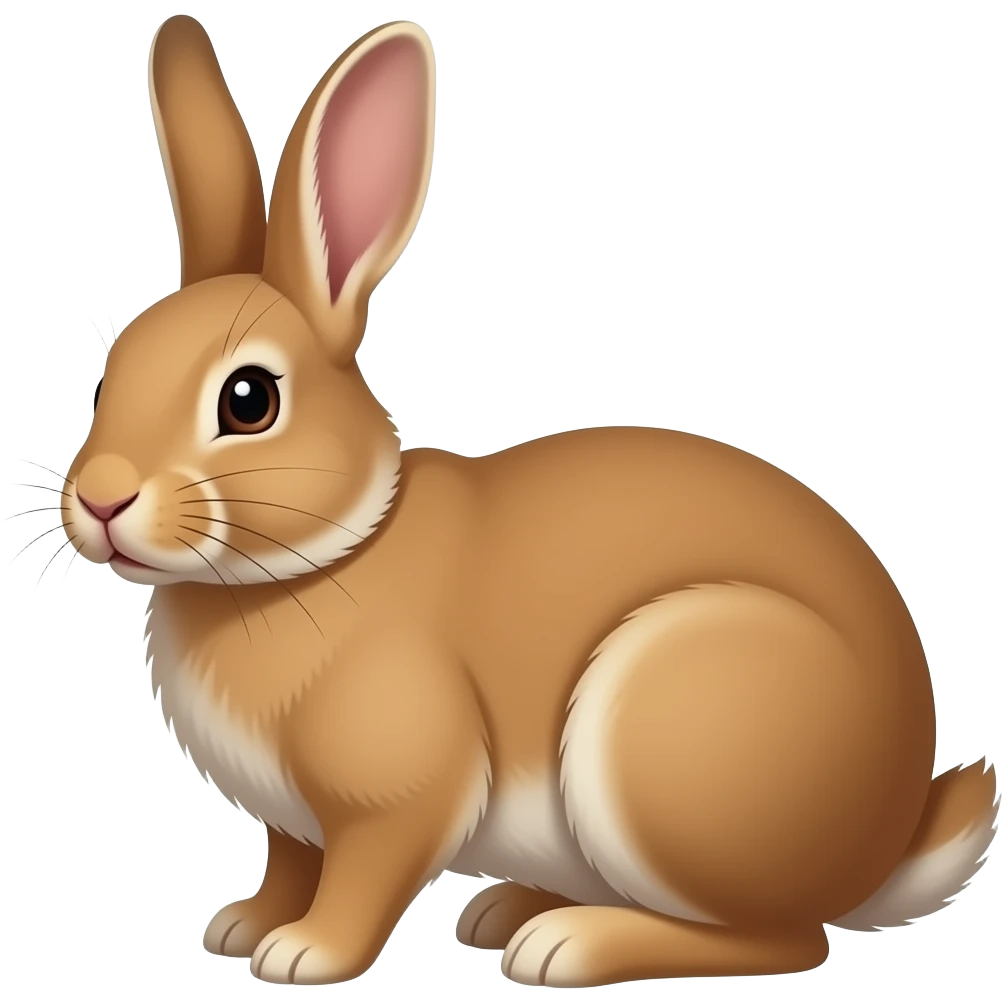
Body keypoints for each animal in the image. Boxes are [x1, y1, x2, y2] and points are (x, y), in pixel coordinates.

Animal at [59, 13, 998, 989]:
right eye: (110, 370)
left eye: (248, 400)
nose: (100, 498)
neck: (322, 558)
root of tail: (887, 837)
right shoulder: (293, 823)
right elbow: (289, 862)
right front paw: (241, 925)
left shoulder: (395, 795)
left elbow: (364, 874)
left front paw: (304, 953)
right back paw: (508, 909)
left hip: (666, 734)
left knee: (783, 938)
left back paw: (565, 943)